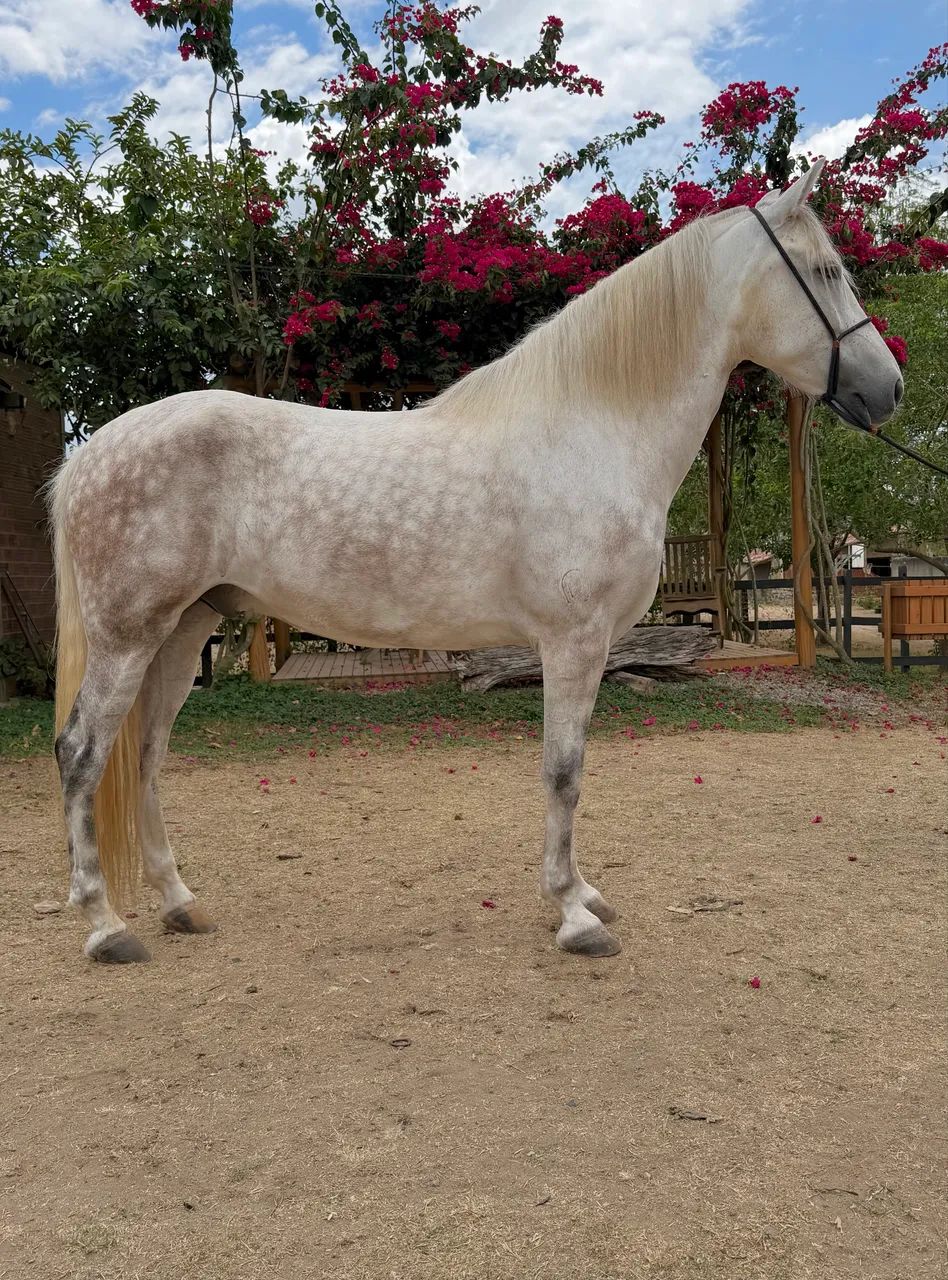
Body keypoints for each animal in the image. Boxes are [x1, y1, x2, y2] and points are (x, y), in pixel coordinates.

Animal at [50, 160, 902, 965]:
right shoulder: (573, 641)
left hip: (184, 629)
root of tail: (89, 454)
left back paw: (179, 904)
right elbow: (563, 771)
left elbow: (570, 770)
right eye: (825, 271)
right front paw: (573, 916)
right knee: (83, 753)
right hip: (130, 635)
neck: (593, 428)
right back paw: (104, 927)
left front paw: (584, 895)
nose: (888, 389)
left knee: (147, 755)